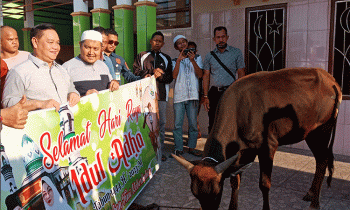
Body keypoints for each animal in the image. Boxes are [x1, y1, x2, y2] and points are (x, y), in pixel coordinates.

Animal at [172, 68, 342, 209]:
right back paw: (311, 193)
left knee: (323, 160)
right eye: (195, 194)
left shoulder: (268, 147)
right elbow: (235, 181)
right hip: (310, 134)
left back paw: (315, 203)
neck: (240, 111)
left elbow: (264, 184)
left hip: (322, 130)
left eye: (216, 193)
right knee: (320, 160)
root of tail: (331, 80)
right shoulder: (242, 153)